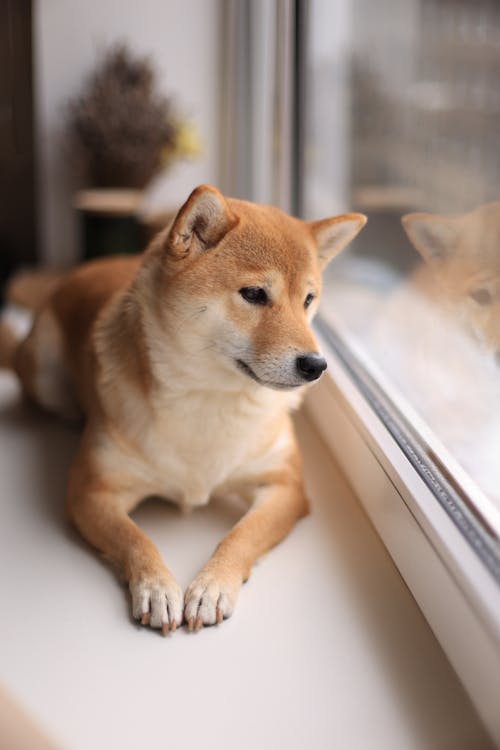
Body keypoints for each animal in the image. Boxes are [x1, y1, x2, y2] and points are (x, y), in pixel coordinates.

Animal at [0, 187, 368, 636]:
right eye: (254, 294)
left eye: (308, 301)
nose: (316, 365)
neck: (208, 398)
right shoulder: (90, 492)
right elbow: (136, 540)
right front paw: (156, 587)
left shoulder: (285, 488)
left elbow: (240, 536)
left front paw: (212, 585)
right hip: (44, 375)